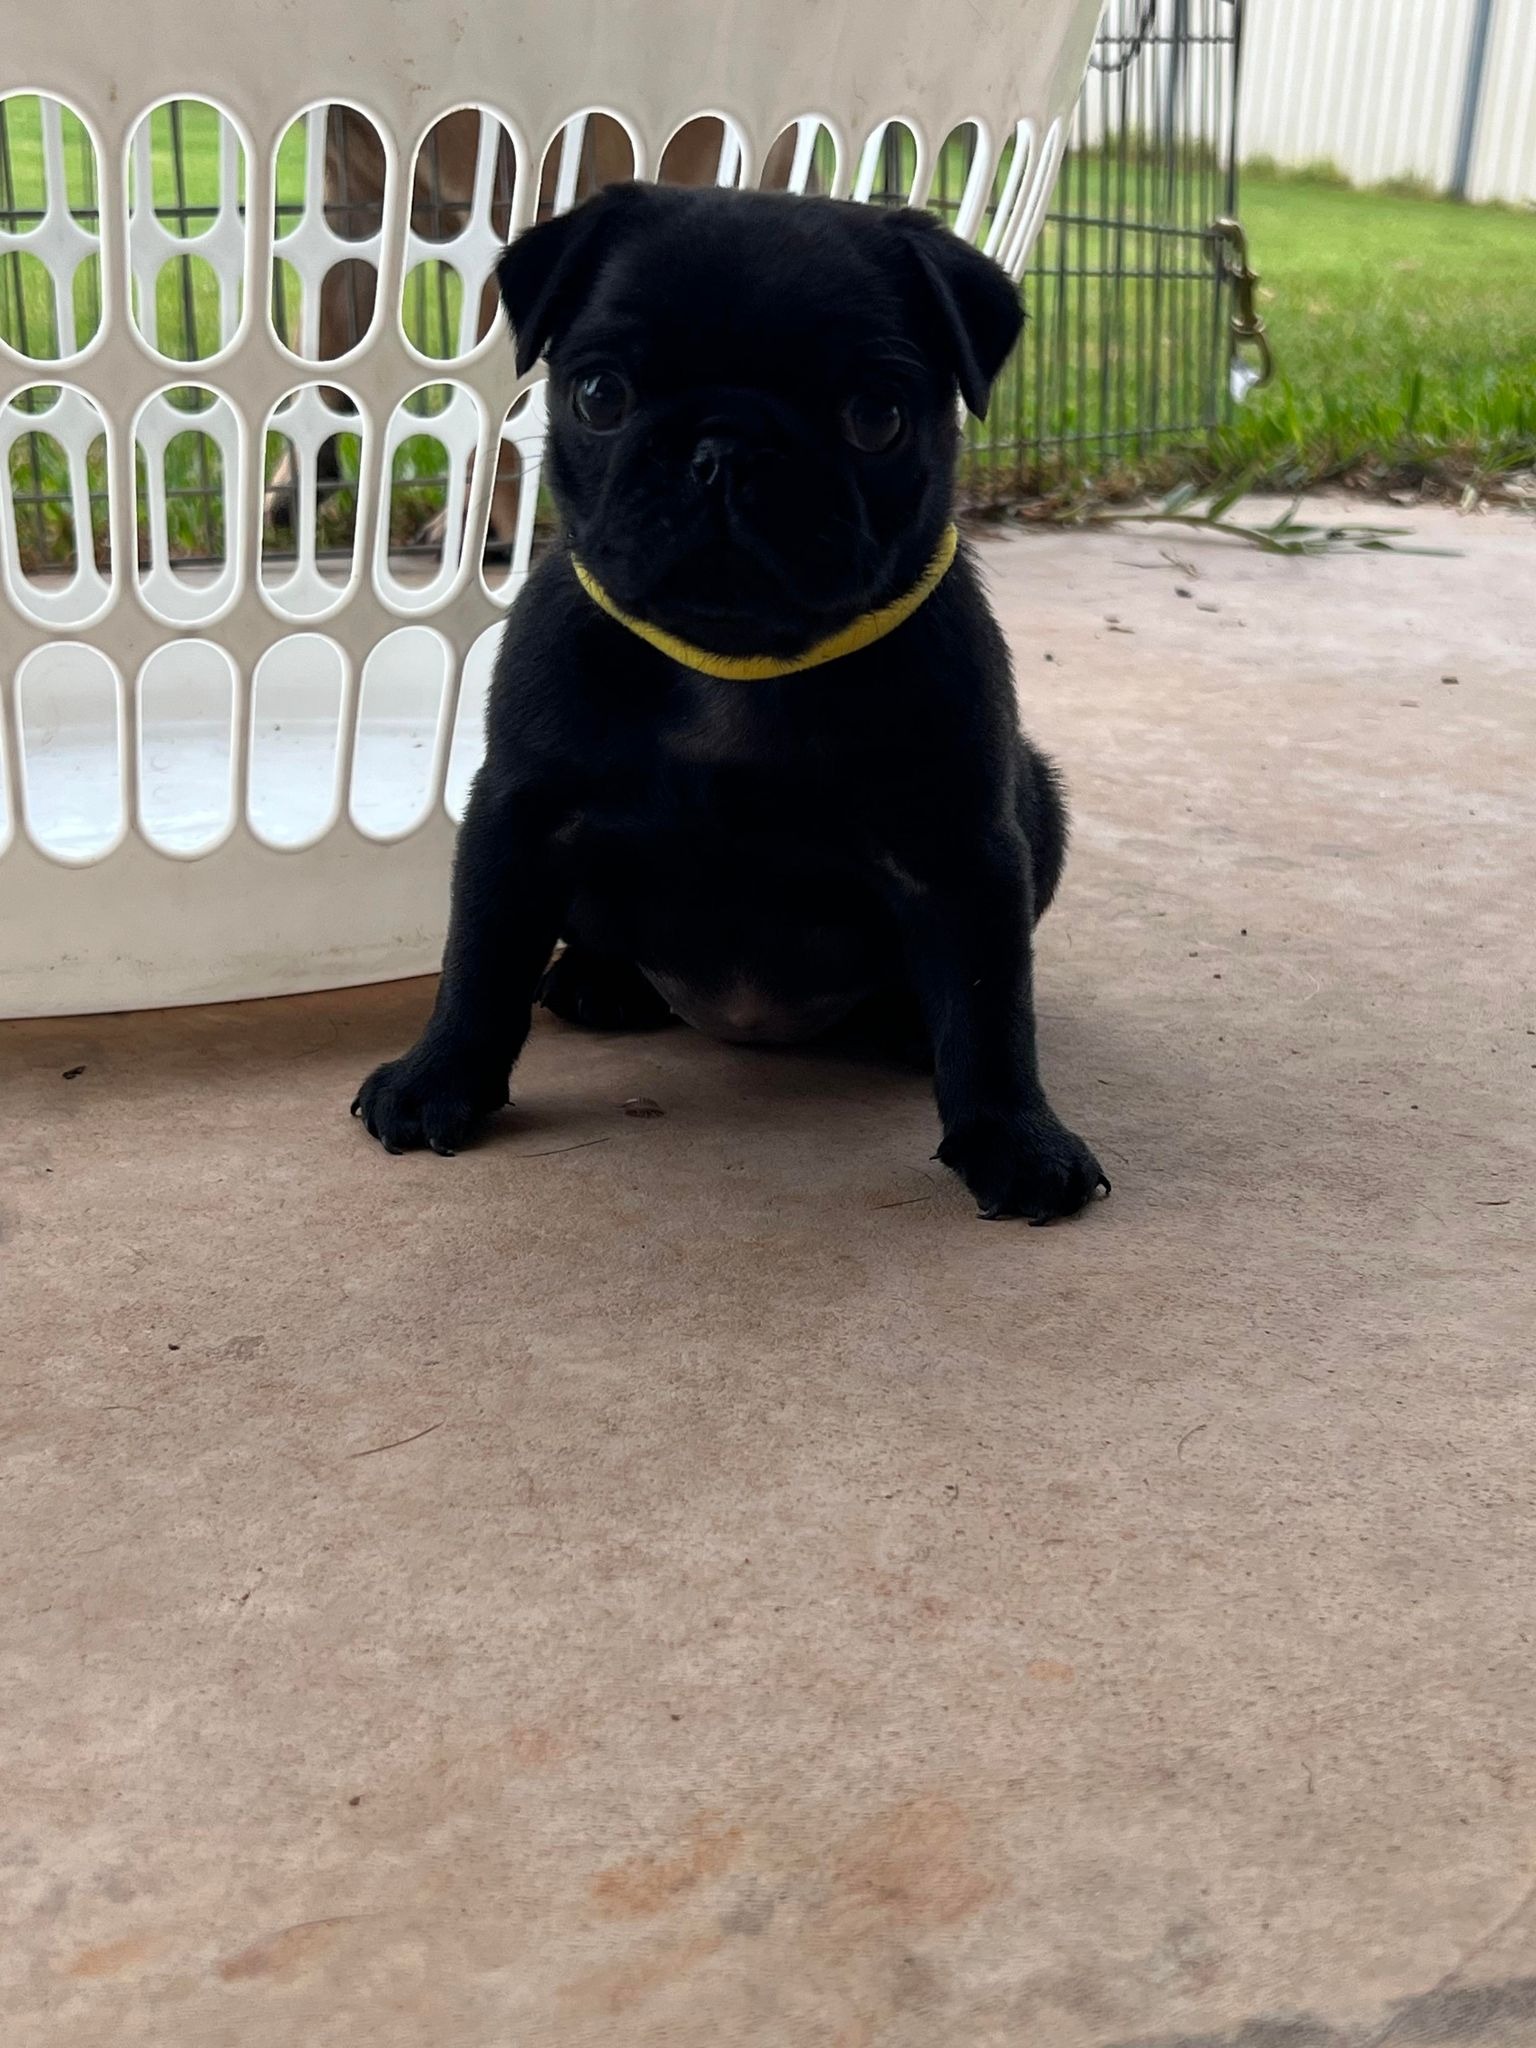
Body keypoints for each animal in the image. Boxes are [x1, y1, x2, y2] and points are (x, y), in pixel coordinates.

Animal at [352, 183, 1108, 1223]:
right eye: (600, 396)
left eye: (877, 416)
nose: (725, 449)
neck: (734, 666)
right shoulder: (521, 816)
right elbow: (480, 963)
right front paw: (436, 1080)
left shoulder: (963, 850)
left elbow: (992, 1007)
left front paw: (1016, 1137)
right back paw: (599, 982)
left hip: (1039, 797)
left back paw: (910, 1020)